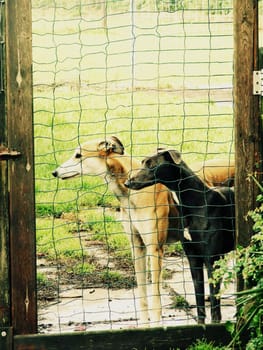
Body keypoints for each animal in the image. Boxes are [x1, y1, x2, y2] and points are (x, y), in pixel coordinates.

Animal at [125, 149, 236, 324]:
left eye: (151, 165)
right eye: (142, 162)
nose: (127, 183)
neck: (198, 203)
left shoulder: (212, 259)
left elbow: (214, 303)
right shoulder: (193, 259)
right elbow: (199, 300)